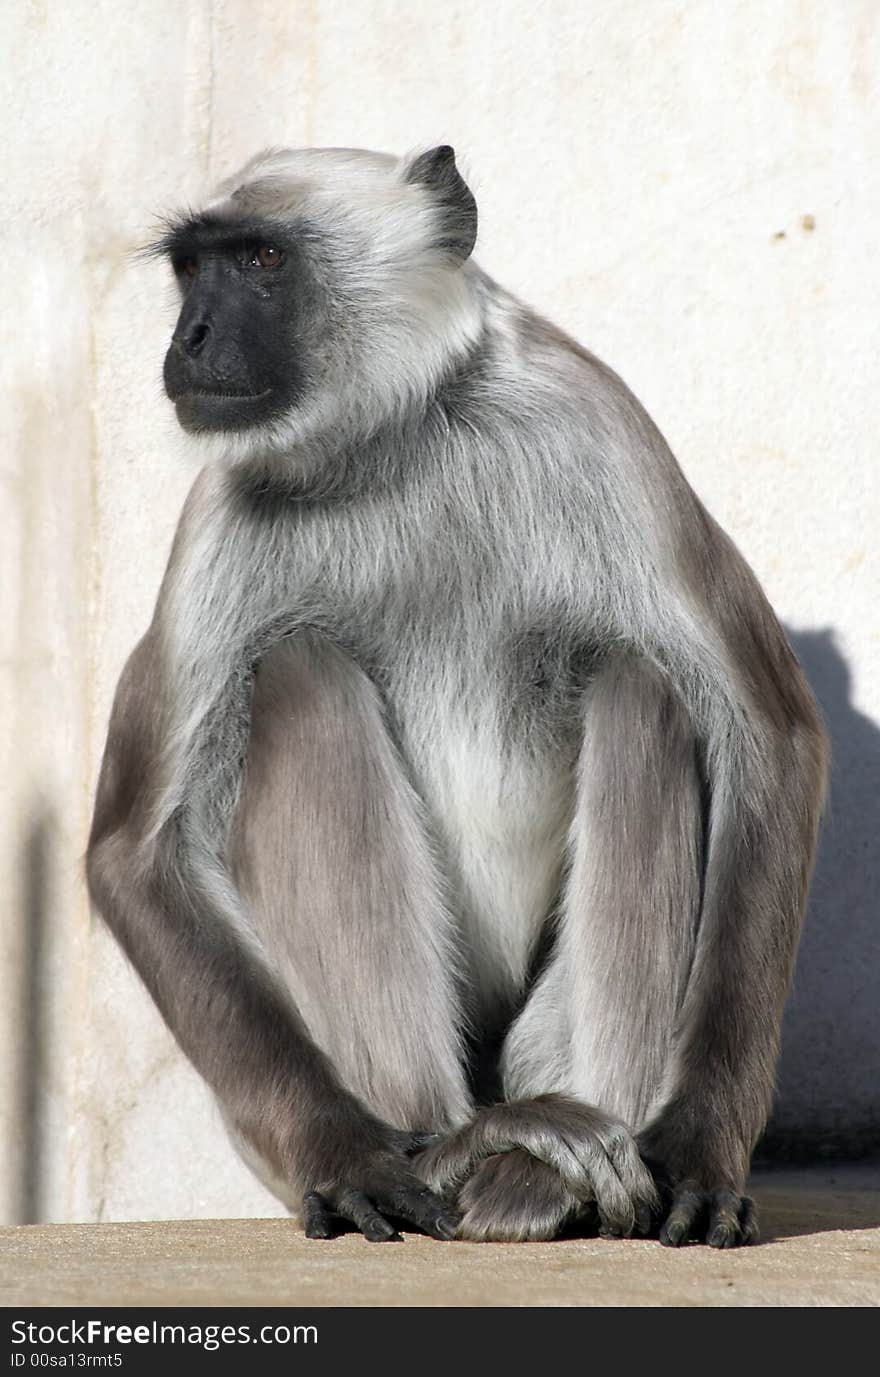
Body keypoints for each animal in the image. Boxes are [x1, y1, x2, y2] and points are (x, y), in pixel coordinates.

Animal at [86, 148, 831, 1250]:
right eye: (191, 270)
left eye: (261, 261)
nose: (193, 337)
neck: (400, 437)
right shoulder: (221, 515)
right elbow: (138, 854)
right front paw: (355, 1155)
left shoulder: (595, 420)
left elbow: (769, 735)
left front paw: (700, 1149)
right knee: (301, 673)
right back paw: (447, 1150)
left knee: (640, 683)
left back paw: (544, 1180)